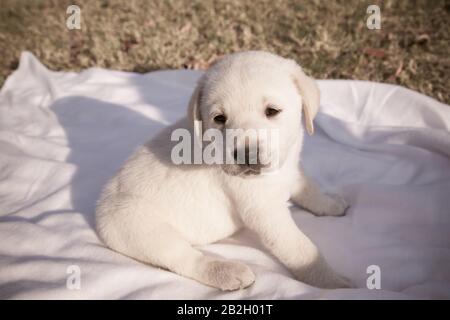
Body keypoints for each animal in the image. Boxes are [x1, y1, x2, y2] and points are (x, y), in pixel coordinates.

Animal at [96, 50, 352, 290]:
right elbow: (300, 248)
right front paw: (334, 283)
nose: (247, 155)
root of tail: (100, 206)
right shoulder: (265, 211)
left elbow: (309, 189)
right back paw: (227, 272)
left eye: (272, 111)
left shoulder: (293, 170)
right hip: (141, 229)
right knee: (185, 259)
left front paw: (330, 204)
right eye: (219, 118)